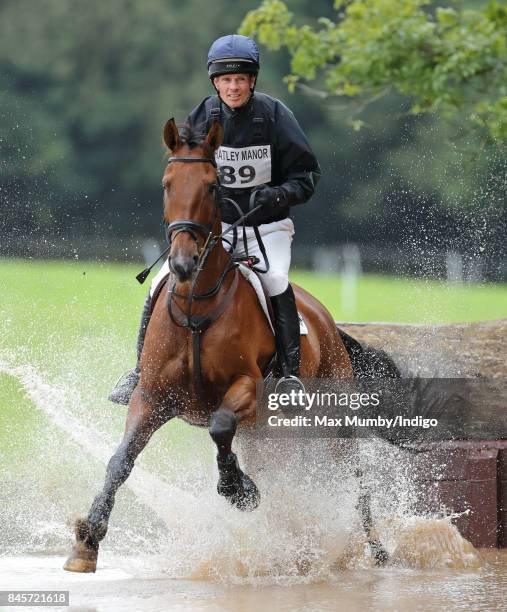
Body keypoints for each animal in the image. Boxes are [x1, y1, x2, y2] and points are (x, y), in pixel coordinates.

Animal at [63, 119, 388, 572]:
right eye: (166, 184)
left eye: (213, 186)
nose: (182, 263)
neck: (197, 306)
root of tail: (326, 319)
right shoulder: (151, 397)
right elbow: (120, 461)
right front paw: (88, 540)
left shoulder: (245, 386)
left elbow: (219, 427)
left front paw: (238, 490)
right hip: (268, 433)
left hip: (334, 421)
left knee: (354, 477)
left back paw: (375, 550)